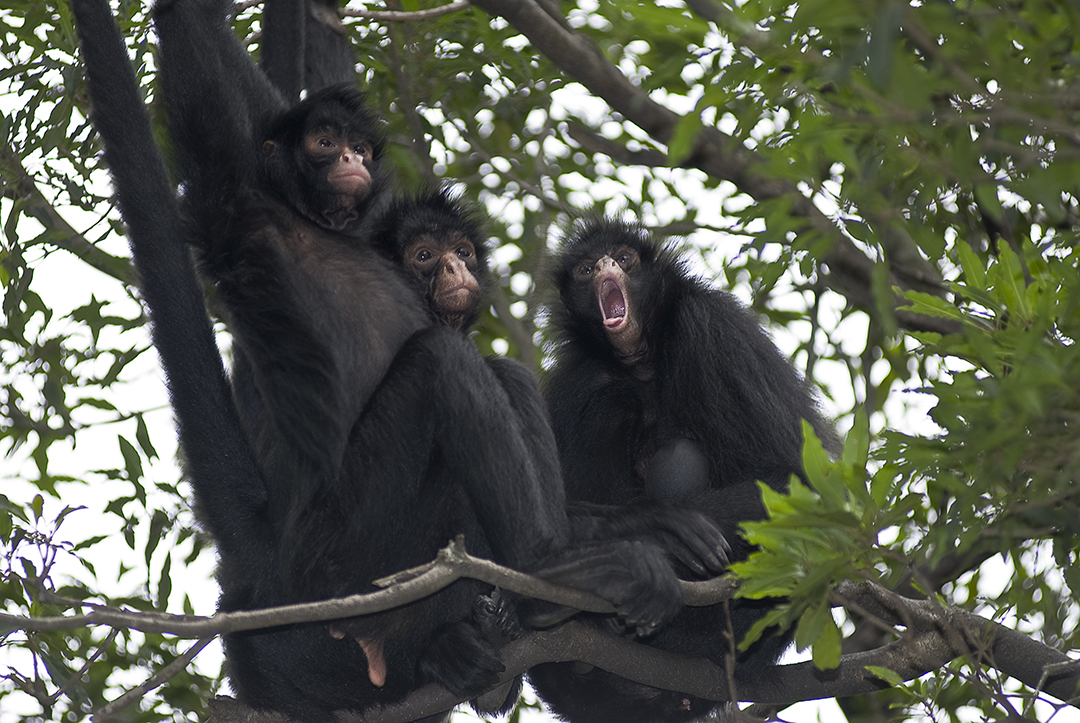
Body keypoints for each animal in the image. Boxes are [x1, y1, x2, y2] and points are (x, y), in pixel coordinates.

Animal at [527, 218, 838, 721]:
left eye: (624, 258)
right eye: (586, 269)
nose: (607, 266)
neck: (644, 363)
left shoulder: (710, 324)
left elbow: (804, 487)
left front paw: (661, 534)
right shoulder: (577, 376)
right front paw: (658, 529)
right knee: (610, 398)